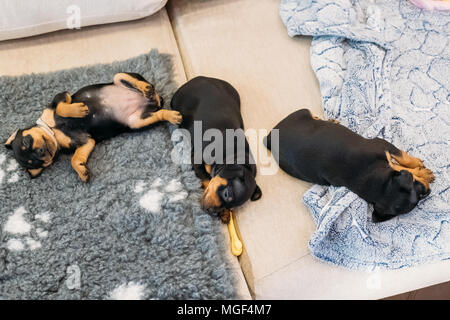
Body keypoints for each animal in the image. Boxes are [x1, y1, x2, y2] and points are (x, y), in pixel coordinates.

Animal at [4, 73, 182, 182]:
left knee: (137, 81)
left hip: (119, 78)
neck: (53, 131)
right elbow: (75, 159)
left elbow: (61, 107)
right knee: (159, 114)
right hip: (136, 122)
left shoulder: (60, 97)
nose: (42, 152)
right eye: (38, 163)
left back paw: (146, 88)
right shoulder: (86, 141)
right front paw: (82, 172)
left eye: (26, 142)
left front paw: (78, 110)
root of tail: (156, 99)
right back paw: (171, 115)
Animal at [170, 77, 260, 222]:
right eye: (226, 194)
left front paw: (225, 213)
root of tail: (201, 78)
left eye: (232, 208)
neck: (232, 156)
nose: (212, 212)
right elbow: (207, 180)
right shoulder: (196, 160)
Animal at [266, 109, 434, 221]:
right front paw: (423, 172)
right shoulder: (381, 144)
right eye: (420, 193)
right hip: (301, 113)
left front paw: (418, 168)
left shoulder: (383, 147)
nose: (429, 191)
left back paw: (329, 121)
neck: (368, 174)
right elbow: (402, 161)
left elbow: (402, 160)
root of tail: (268, 137)